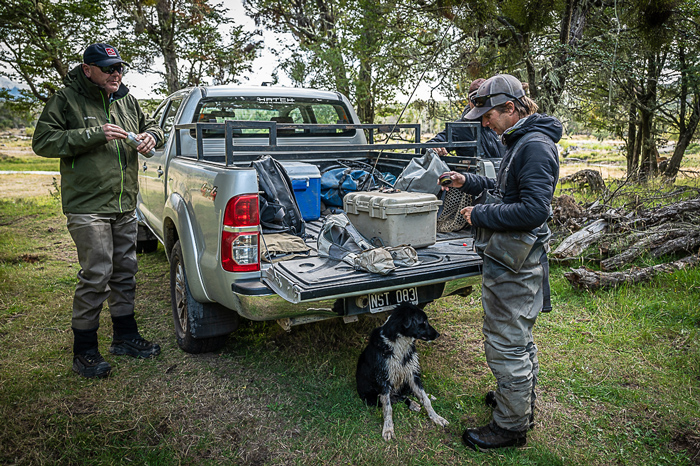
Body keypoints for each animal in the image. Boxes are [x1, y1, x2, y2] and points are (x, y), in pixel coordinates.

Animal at [356, 302, 448, 440]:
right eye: (423, 322)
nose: (438, 334)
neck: (400, 343)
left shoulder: (412, 373)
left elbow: (425, 399)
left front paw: (436, 417)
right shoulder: (383, 378)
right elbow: (388, 407)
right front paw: (388, 429)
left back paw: (426, 397)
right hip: (371, 398)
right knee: (397, 398)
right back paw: (413, 403)